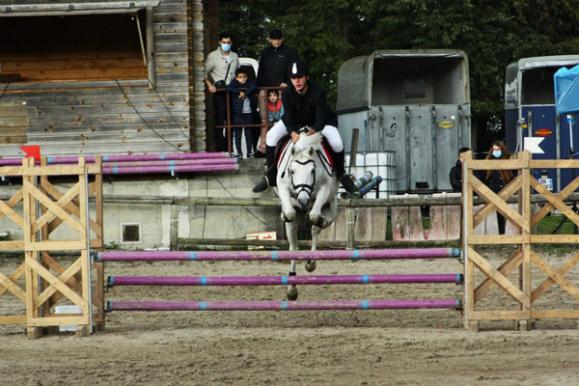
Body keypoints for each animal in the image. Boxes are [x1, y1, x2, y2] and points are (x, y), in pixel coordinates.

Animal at [276, 133, 340, 302]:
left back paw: (311, 262)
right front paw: (285, 214)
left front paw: (320, 220)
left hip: (331, 203)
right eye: (292, 171)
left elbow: (315, 216)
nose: (304, 200)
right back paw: (292, 288)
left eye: (312, 171)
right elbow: (290, 213)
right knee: (294, 246)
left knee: (318, 225)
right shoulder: (283, 188)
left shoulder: (325, 189)